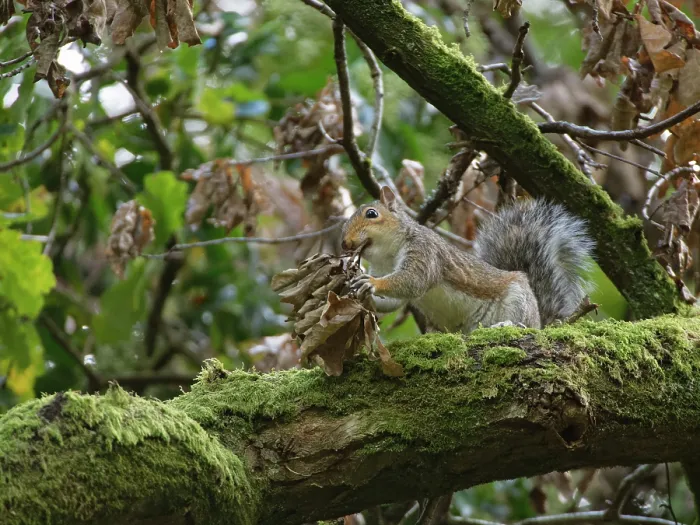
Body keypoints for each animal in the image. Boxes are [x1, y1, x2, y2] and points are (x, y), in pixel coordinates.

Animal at [341, 186, 594, 333]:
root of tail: (542, 322)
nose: (345, 243)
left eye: (371, 214)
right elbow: (394, 301)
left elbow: (414, 281)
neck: (388, 254)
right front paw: (363, 296)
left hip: (518, 299)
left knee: (524, 325)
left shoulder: (426, 253)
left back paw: (508, 324)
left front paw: (371, 283)